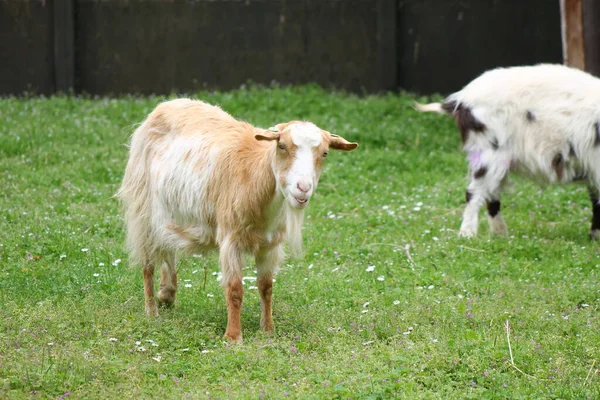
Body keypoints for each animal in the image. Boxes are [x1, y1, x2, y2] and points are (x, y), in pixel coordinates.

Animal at [118, 98, 358, 342]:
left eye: (325, 153)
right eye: (281, 146)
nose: (303, 188)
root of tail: (168, 103)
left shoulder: (271, 244)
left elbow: (266, 286)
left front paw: (268, 329)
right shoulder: (231, 239)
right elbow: (234, 289)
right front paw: (233, 337)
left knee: (167, 247)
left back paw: (167, 293)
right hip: (143, 208)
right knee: (148, 262)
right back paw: (152, 311)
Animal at [418, 62, 600, 238]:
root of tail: (460, 100)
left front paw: (594, 237)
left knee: (492, 193)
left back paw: (501, 235)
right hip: (489, 151)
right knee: (474, 192)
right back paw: (468, 234)